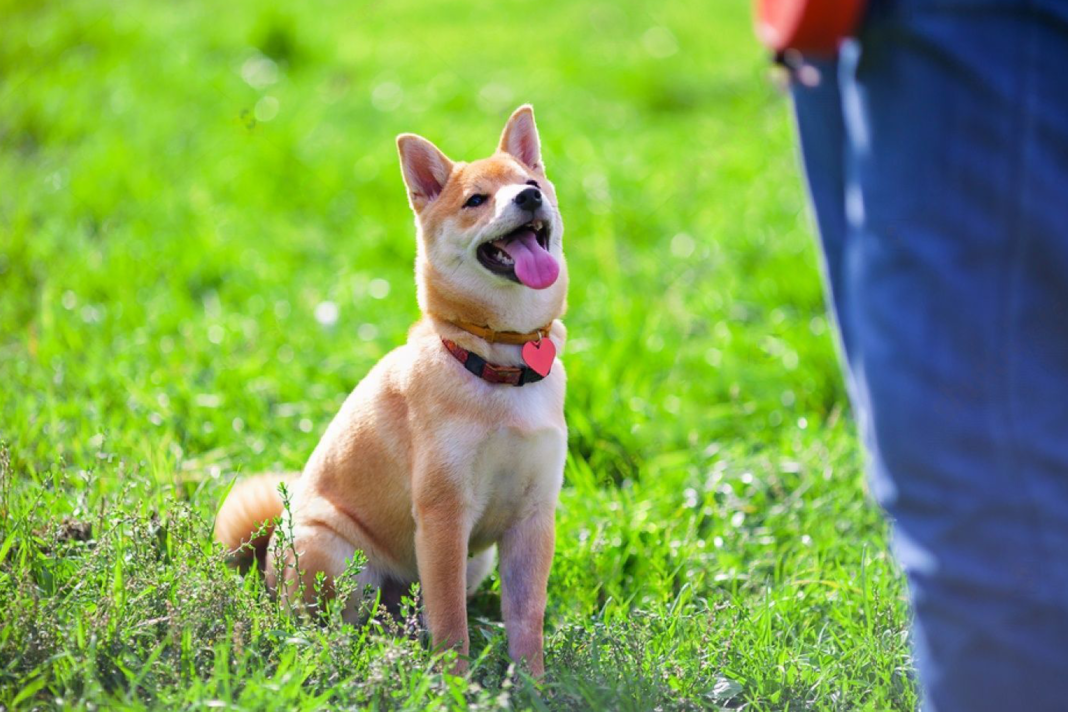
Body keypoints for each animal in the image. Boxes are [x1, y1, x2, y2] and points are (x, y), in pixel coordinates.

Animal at [212, 104, 572, 674]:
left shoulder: (533, 518)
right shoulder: (443, 515)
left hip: (473, 563)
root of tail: (267, 563)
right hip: (335, 555)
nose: (529, 199)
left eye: (531, 183)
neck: (497, 361)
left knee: (406, 616)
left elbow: (526, 620)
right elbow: (450, 625)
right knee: (328, 625)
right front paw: (454, 683)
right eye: (476, 200)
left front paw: (532, 682)